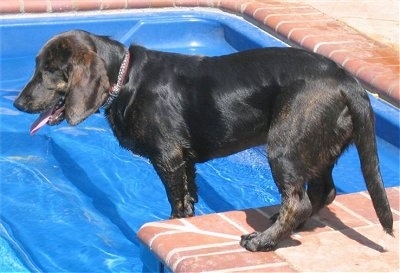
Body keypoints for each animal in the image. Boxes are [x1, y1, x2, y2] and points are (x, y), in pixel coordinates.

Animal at [13, 30, 394, 251]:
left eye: (49, 70)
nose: (17, 103)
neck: (126, 79)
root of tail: (347, 81)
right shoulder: (187, 161)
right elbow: (190, 199)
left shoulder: (168, 158)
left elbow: (176, 202)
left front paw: (173, 224)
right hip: (316, 148)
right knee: (322, 192)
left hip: (285, 146)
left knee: (299, 201)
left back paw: (263, 241)